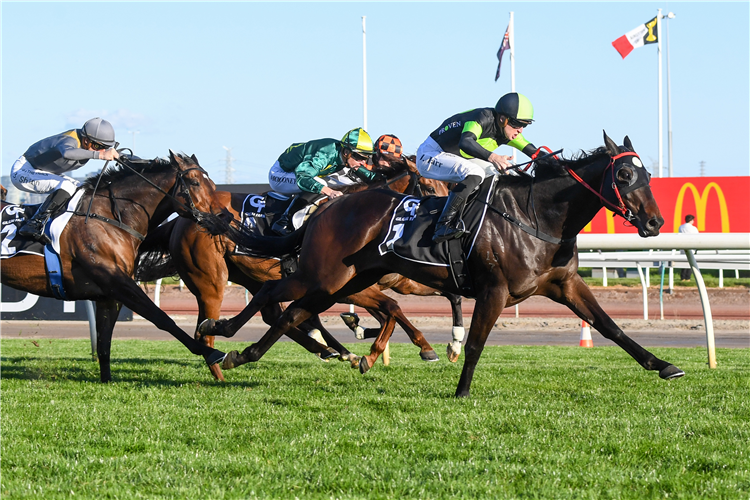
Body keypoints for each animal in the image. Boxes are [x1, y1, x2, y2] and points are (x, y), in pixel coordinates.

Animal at [0, 150, 229, 380]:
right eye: (195, 182)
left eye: (213, 185)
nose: (224, 218)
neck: (109, 219)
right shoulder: (117, 282)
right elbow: (161, 317)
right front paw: (215, 354)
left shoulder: (108, 295)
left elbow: (104, 343)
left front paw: (106, 380)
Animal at [153, 156, 458, 378]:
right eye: (429, 188)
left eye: (447, 188)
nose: (441, 225)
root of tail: (183, 218)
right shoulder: (348, 285)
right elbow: (391, 309)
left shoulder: (393, 280)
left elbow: (435, 297)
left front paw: (438, 345)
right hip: (211, 281)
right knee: (223, 319)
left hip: (247, 275)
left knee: (271, 311)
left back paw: (330, 349)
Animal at [200, 134, 688, 398]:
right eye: (624, 176)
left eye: (646, 175)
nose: (654, 222)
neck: (535, 217)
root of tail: (326, 207)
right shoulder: (494, 290)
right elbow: (474, 343)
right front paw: (462, 388)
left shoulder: (564, 285)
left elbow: (611, 327)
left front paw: (663, 364)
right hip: (325, 273)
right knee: (273, 296)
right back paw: (218, 332)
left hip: (346, 281)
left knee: (293, 313)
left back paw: (247, 353)